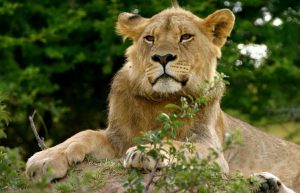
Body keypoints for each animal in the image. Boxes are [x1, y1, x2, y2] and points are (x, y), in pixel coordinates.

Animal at [25, 3, 298, 192]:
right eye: (150, 38)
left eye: (185, 37)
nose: (163, 57)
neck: (161, 101)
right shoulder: (116, 137)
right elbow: (84, 134)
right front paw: (43, 160)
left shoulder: (213, 153)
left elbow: (178, 144)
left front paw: (145, 152)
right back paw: (265, 182)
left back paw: (268, 181)